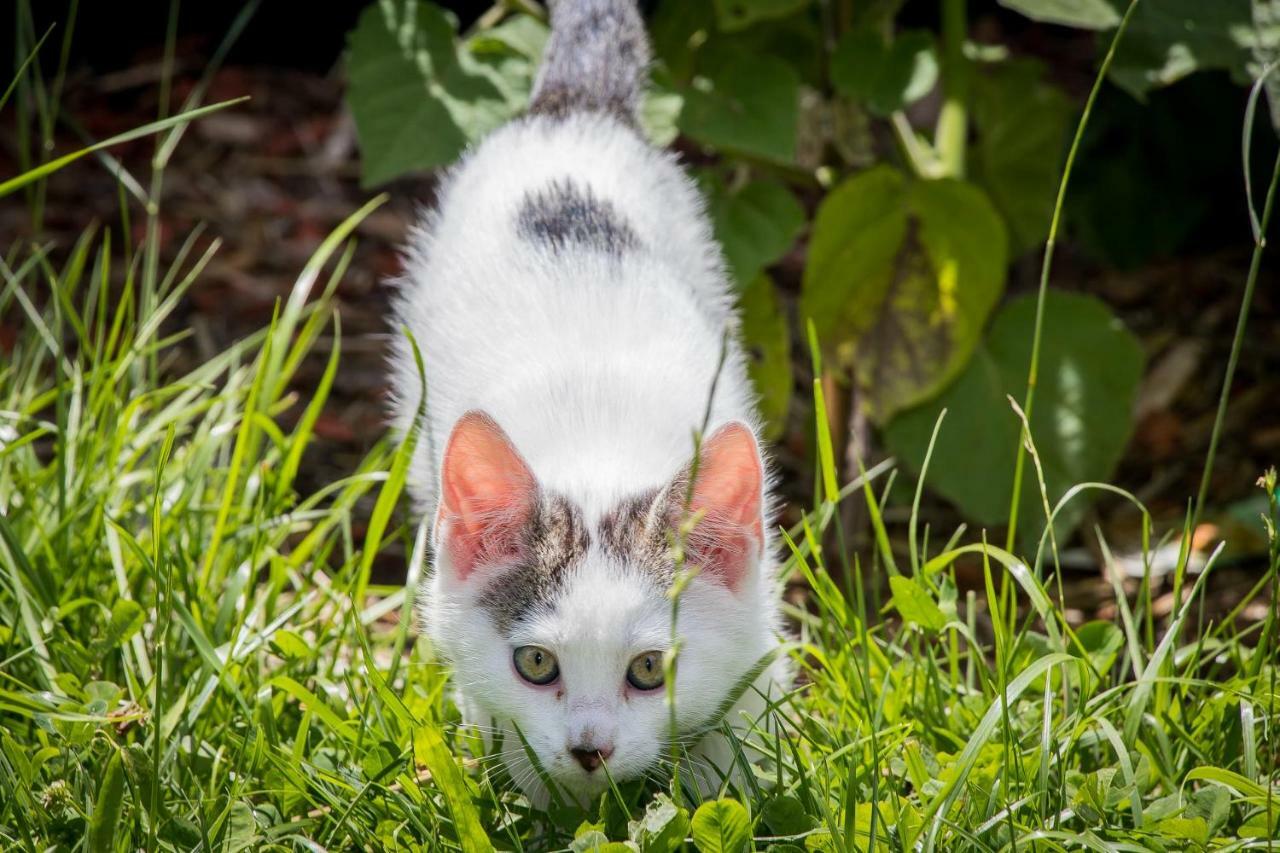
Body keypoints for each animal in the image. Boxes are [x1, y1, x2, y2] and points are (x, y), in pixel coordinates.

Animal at [389, 0, 783, 804]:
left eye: (650, 670)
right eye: (536, 663)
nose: (589, 749)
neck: (600, 451)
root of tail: (573, 110)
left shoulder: (760, 619)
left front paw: (717, 782)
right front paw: (540, 790)